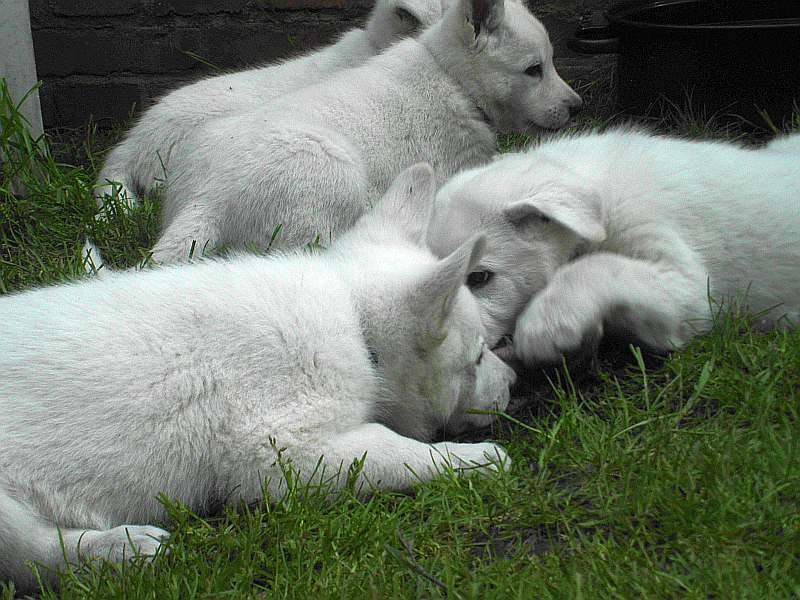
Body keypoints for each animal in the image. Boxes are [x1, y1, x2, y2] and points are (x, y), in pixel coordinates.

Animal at [0, 165, 512, 596]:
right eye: (478, 356)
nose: (514, 382)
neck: (353, 319)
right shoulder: (276, 451)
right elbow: (395, 452)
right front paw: (475, 459)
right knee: (35, 555)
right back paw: (119, 549)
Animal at [147, 0, 580, 262]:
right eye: (534, 70)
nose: (578, 107)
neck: (454, 79)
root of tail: (206, 198)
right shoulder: (456, 168)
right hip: (330, 174)